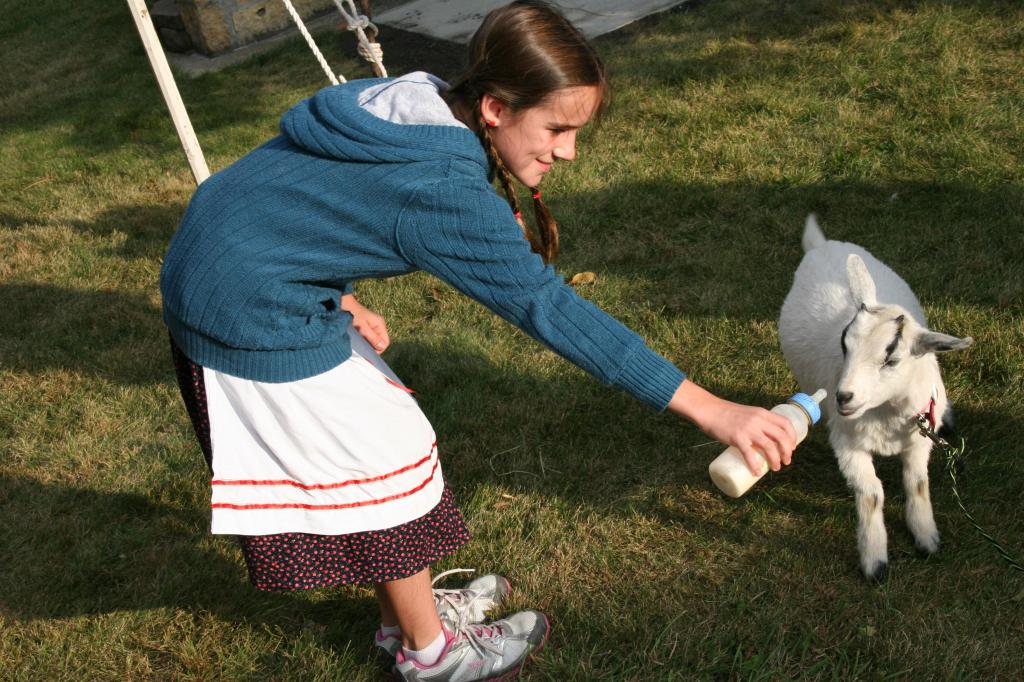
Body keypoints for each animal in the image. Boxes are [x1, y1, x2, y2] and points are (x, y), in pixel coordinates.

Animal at [779, 215, 972, 581]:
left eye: (891, 360)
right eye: (844, 345)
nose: (842, 397)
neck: (887, 415)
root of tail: (824, 245)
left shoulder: (919, 440)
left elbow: (917, 482)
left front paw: (926, 536)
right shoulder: (847, 445)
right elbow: (871, 495)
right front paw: (875, 560)